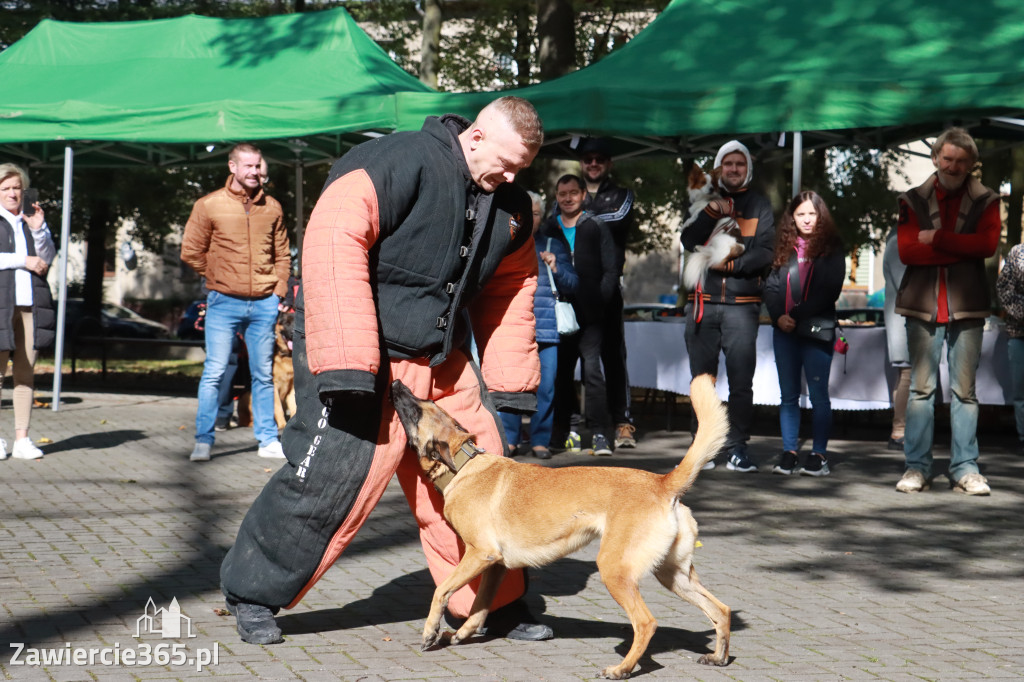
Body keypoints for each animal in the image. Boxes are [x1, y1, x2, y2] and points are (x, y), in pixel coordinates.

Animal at [387, 374, 733, 675]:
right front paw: (461, 634)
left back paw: (621, 669)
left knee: (647, 623)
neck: (463, 464)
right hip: (674, 575)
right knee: (721, 610)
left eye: (417, 410)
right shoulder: (495, 567)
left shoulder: (480, 555)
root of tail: (662, 483)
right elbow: (479, 607)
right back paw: (718, 657)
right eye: (424, 401)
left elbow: (441, 591)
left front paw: (431, 631)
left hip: (615, 571)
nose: (396, 382)